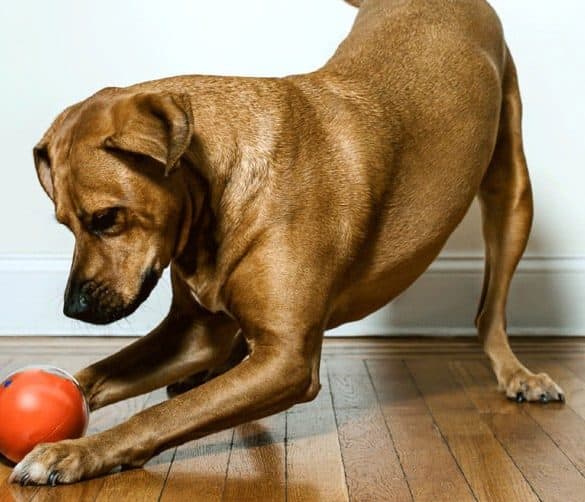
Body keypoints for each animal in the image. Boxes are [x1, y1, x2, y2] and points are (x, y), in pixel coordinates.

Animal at [11, 0, 564, 486]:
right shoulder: (193, 333)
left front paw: (74, 452)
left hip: (512, 192)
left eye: (106, 219)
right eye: (64, 224)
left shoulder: (288, 362)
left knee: (490, 310)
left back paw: (517, 374)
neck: (218, 195)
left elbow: (159, 417)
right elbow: (94, 376)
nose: (73, 310)